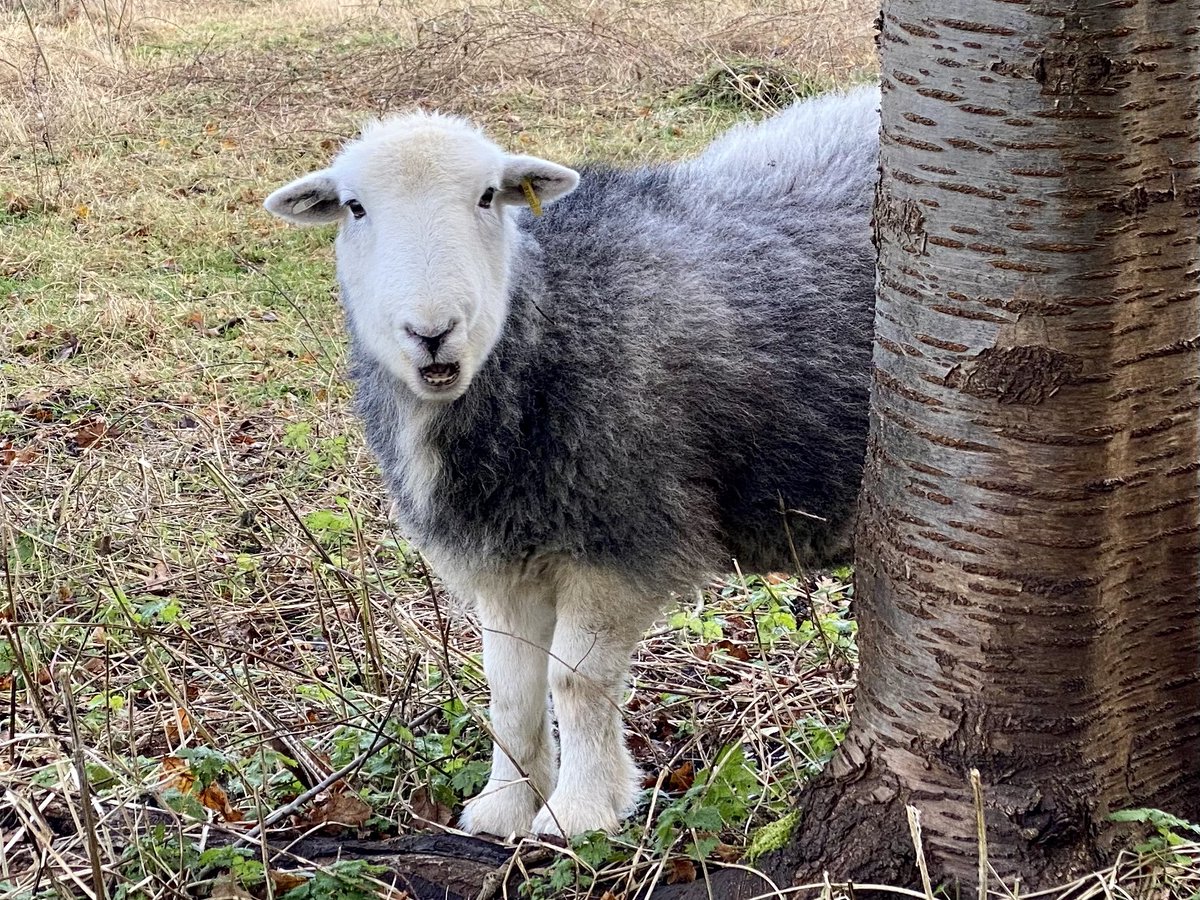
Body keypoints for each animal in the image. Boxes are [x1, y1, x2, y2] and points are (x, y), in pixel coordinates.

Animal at [264, 85, 879, 839]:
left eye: (488, 196)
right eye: (354, 207)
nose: (432, 334)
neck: (553, 324)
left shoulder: (620, 535)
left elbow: (573, 682)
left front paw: (578, 813)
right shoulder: (502, 558)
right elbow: (510, 694)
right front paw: (504, 807)